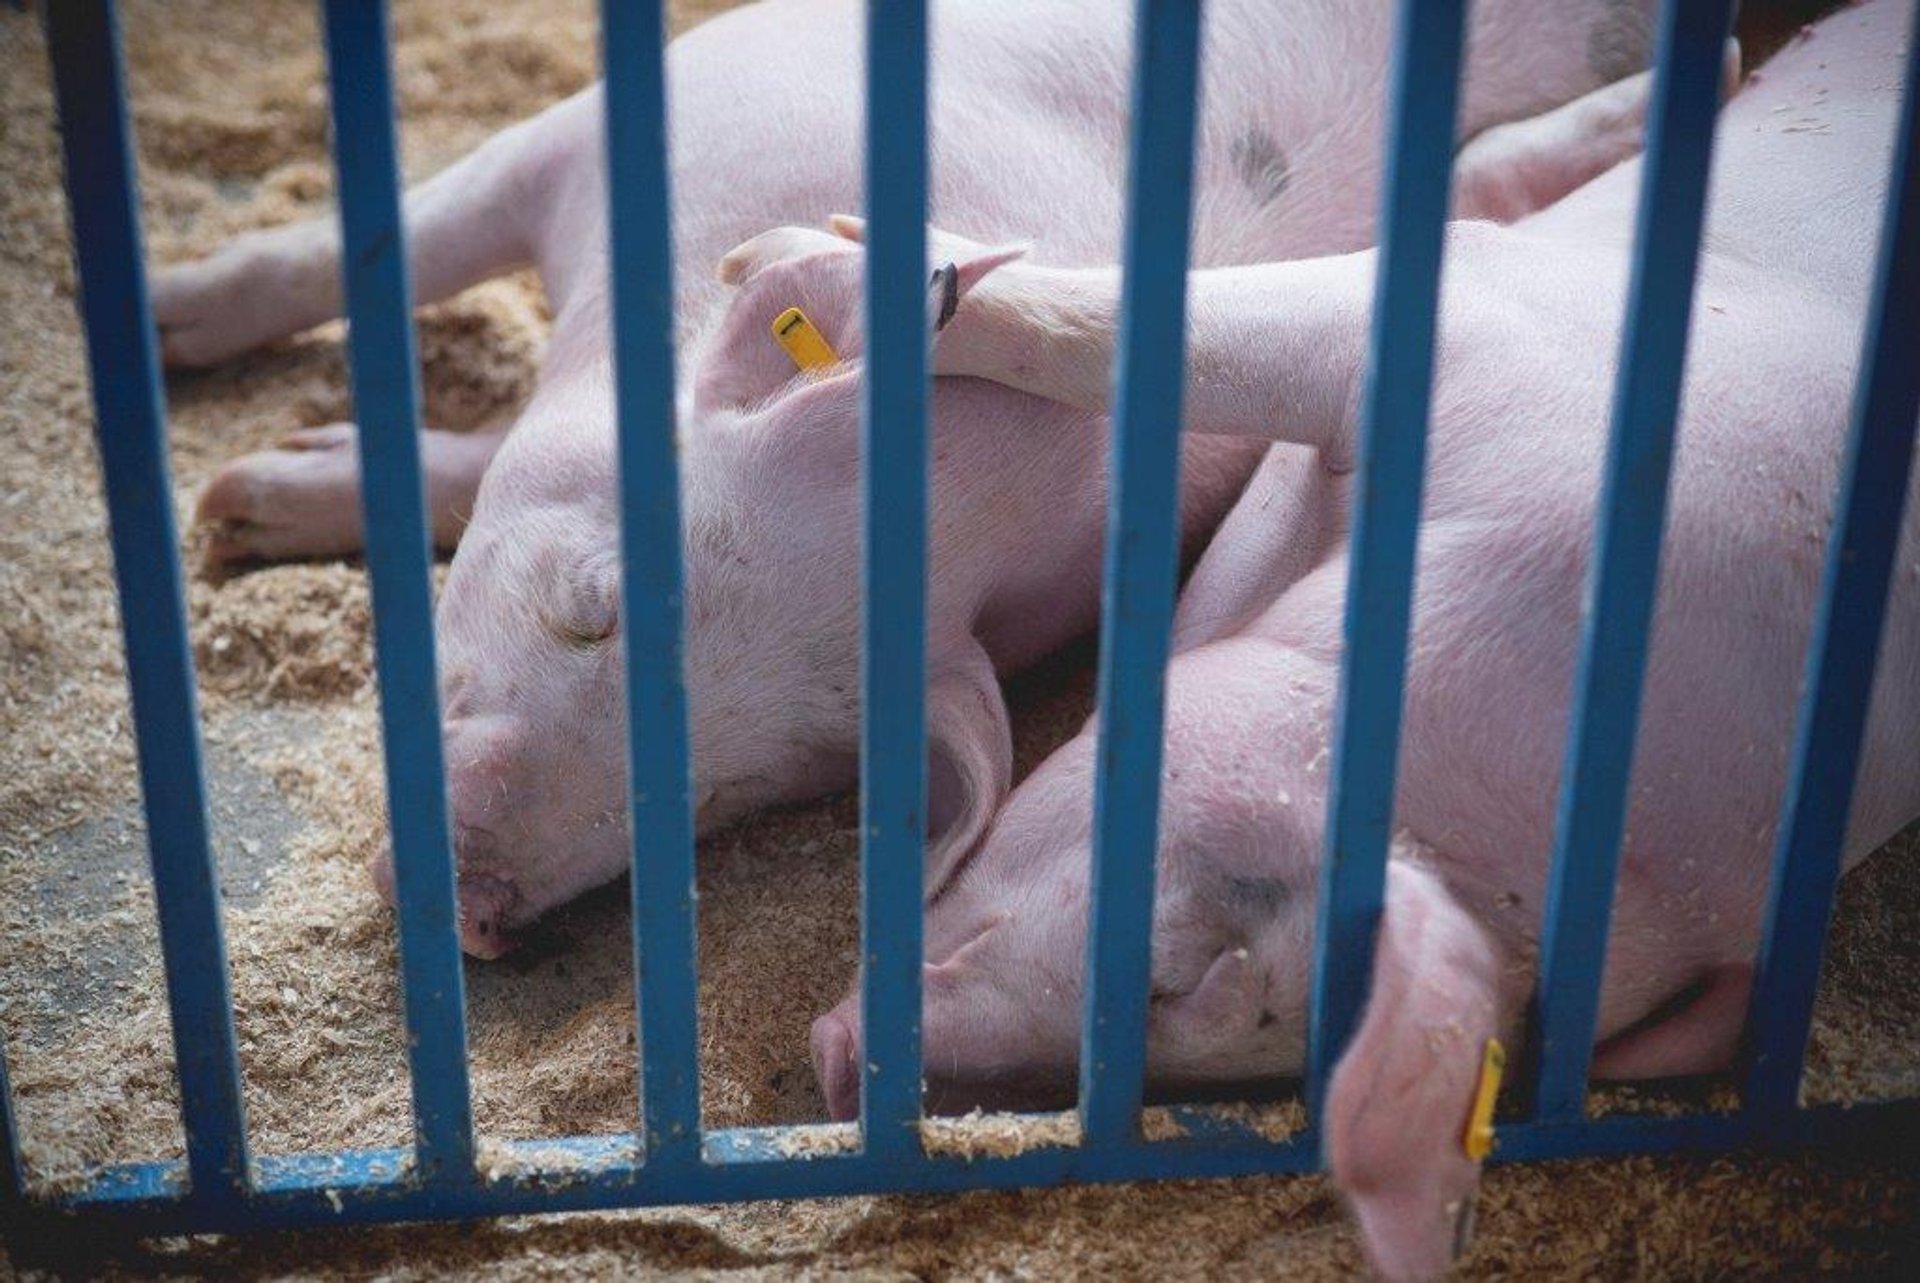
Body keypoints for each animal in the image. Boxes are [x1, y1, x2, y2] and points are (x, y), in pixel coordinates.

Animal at [157, 0, 1674, 956]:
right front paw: (207, 444)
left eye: (745, 783)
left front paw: (230, 499)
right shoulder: (617, 116)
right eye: (595, 605)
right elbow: (371, 245)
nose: (476, 902)